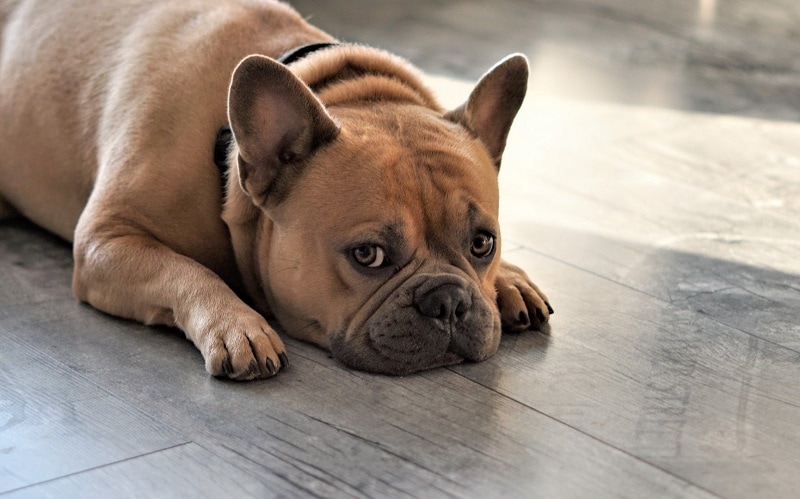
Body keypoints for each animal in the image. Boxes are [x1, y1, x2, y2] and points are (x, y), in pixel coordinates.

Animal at [0, 0, 552, 378]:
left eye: (483, 244)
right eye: (368, 255)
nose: (449, 302)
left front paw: (511, 278)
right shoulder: (106, 240)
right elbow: (185, 270)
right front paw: (237, 326)